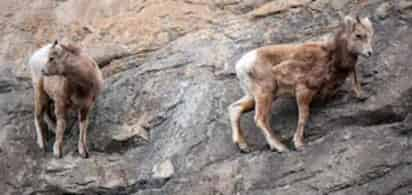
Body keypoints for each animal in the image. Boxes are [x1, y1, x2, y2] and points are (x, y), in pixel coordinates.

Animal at [230, 15, 374, 152]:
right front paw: (299, 144)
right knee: (260, 119)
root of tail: (241, 65)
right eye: (358, 35)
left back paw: (243, 146)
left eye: (370, 33)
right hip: (265, 93)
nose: (369, 53)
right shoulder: (303, 90)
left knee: (235, 108)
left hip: (256, 96)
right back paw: (280, 147)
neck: (330, 58)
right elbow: (303, 117)